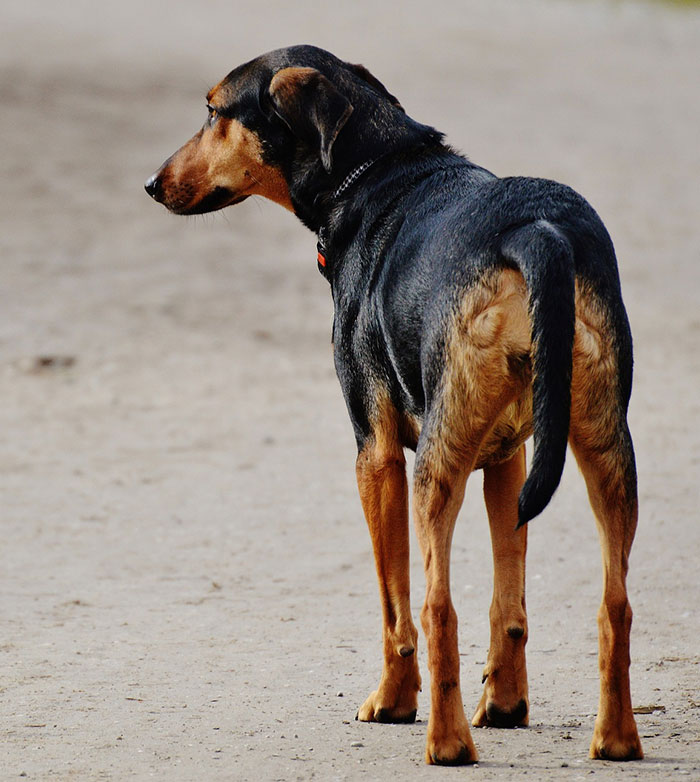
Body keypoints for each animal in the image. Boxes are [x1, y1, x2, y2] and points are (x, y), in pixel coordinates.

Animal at [145, 46, 644, 768]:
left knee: (438, 607)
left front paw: (393, 700)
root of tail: (537, 233)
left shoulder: (374, 454)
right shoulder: (509, 456)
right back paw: (616, 739)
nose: (151, 184)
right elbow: (508, 603)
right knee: (615, 603)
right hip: (606, 449)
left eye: (214, 111)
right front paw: (506, 705)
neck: (376, 170)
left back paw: (446, 742)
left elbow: (394, 602)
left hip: (434, 467)